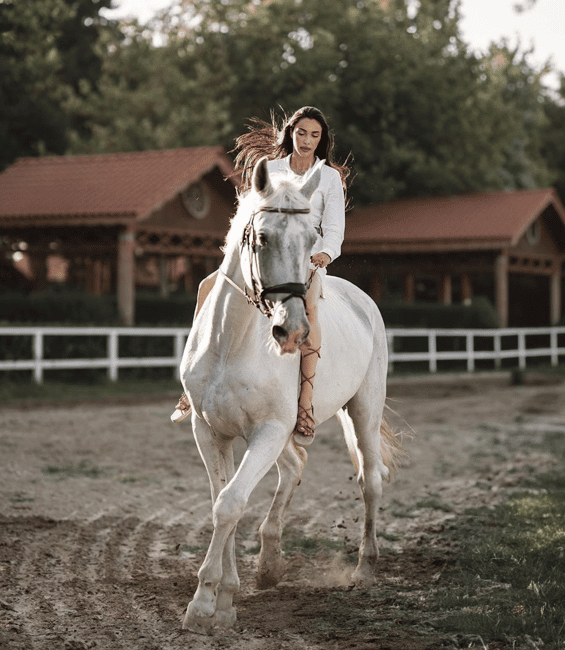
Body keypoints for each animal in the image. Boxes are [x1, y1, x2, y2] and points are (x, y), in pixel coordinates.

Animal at [179, 157, 396, 634]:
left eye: (313, 238)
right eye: (261, 238)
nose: (292, 331)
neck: (231, 343)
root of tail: (365, 301)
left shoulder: (270, 431)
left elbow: (230, 504)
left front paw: (205, 604)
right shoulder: (209, 432)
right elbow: (223, 501)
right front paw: (225, 597)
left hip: (363, 410)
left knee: (369, 480)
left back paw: (364, 569)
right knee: (295, 468)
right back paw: (270, 565)